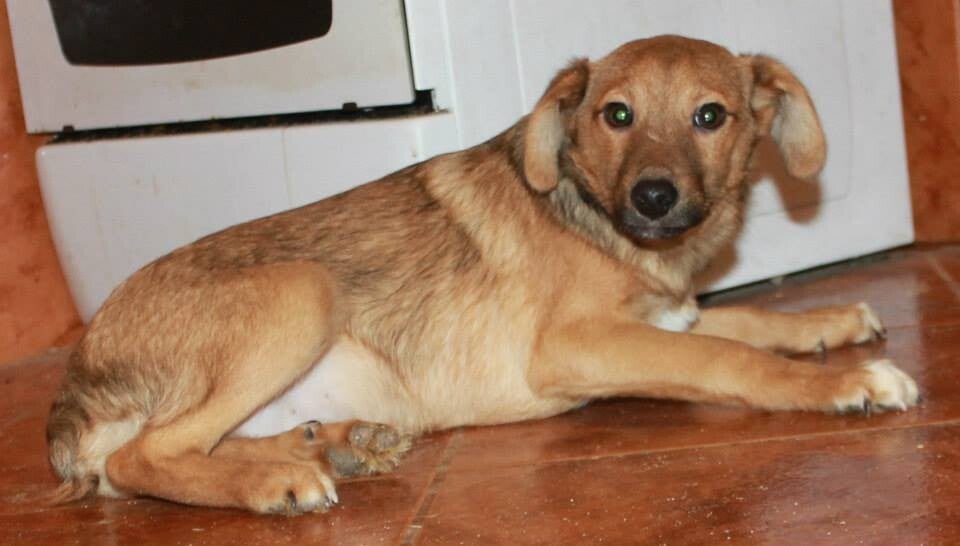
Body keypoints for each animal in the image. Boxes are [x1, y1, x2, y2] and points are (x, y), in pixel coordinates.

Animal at [46, 35, 919, 514]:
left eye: (711, 116)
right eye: (617, 114)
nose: (653, 197)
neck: (598, 220)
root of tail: (75, 387)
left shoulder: (667, 310)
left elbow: (748, 320)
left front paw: (831, 321)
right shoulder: (576, 345)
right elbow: (729, 356)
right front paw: (846, 383)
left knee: (174, 454)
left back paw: (332, 446)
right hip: (302, 289)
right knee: (138, 461)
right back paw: (280, 482)